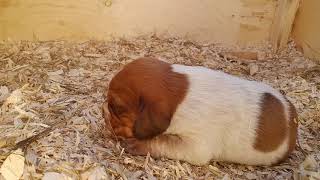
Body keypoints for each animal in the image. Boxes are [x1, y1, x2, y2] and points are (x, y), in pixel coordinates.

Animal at [102, 57, 298, 166]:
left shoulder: (196, 146)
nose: (104, 116)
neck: (178, 93)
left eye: (116, 107)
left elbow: (162, 142)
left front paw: (134, 144)